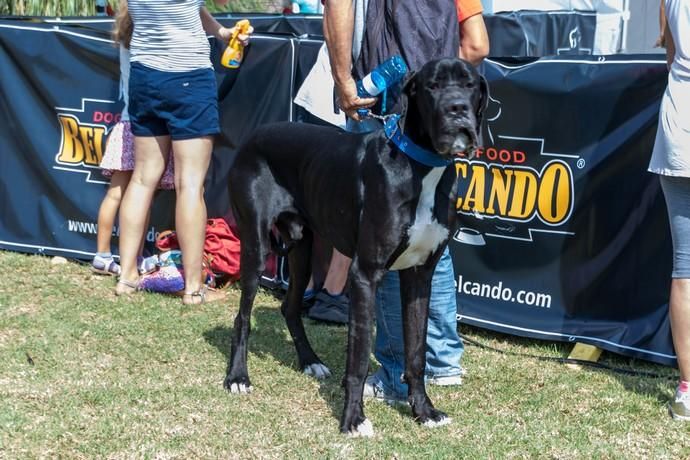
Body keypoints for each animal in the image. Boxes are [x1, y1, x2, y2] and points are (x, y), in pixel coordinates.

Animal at [224, 57, 484, 434]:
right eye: (433, 86)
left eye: (470, 85)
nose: (457, 109)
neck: (422, 167)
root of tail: (254, 136)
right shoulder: (365, 274)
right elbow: (359, 357)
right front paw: (353, 419)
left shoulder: (420, 276)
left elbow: (416, 352)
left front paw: (424, 411)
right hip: (256, 248)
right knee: (242, 317)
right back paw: (237, 377)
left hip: (302, 248)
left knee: (290, 307)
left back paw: (311, 362)